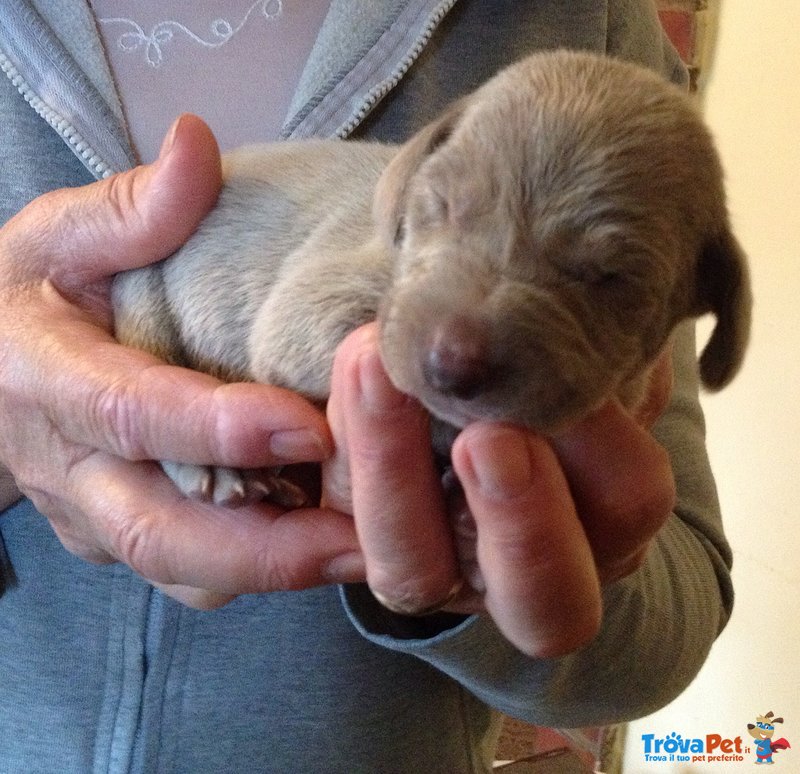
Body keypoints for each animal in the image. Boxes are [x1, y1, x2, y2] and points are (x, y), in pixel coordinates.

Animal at [111, 50, 752, 510]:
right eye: (441, 206)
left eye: (610, 277)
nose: (451, 366)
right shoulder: (313, 304)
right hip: (145, 297)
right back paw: (221, 466)